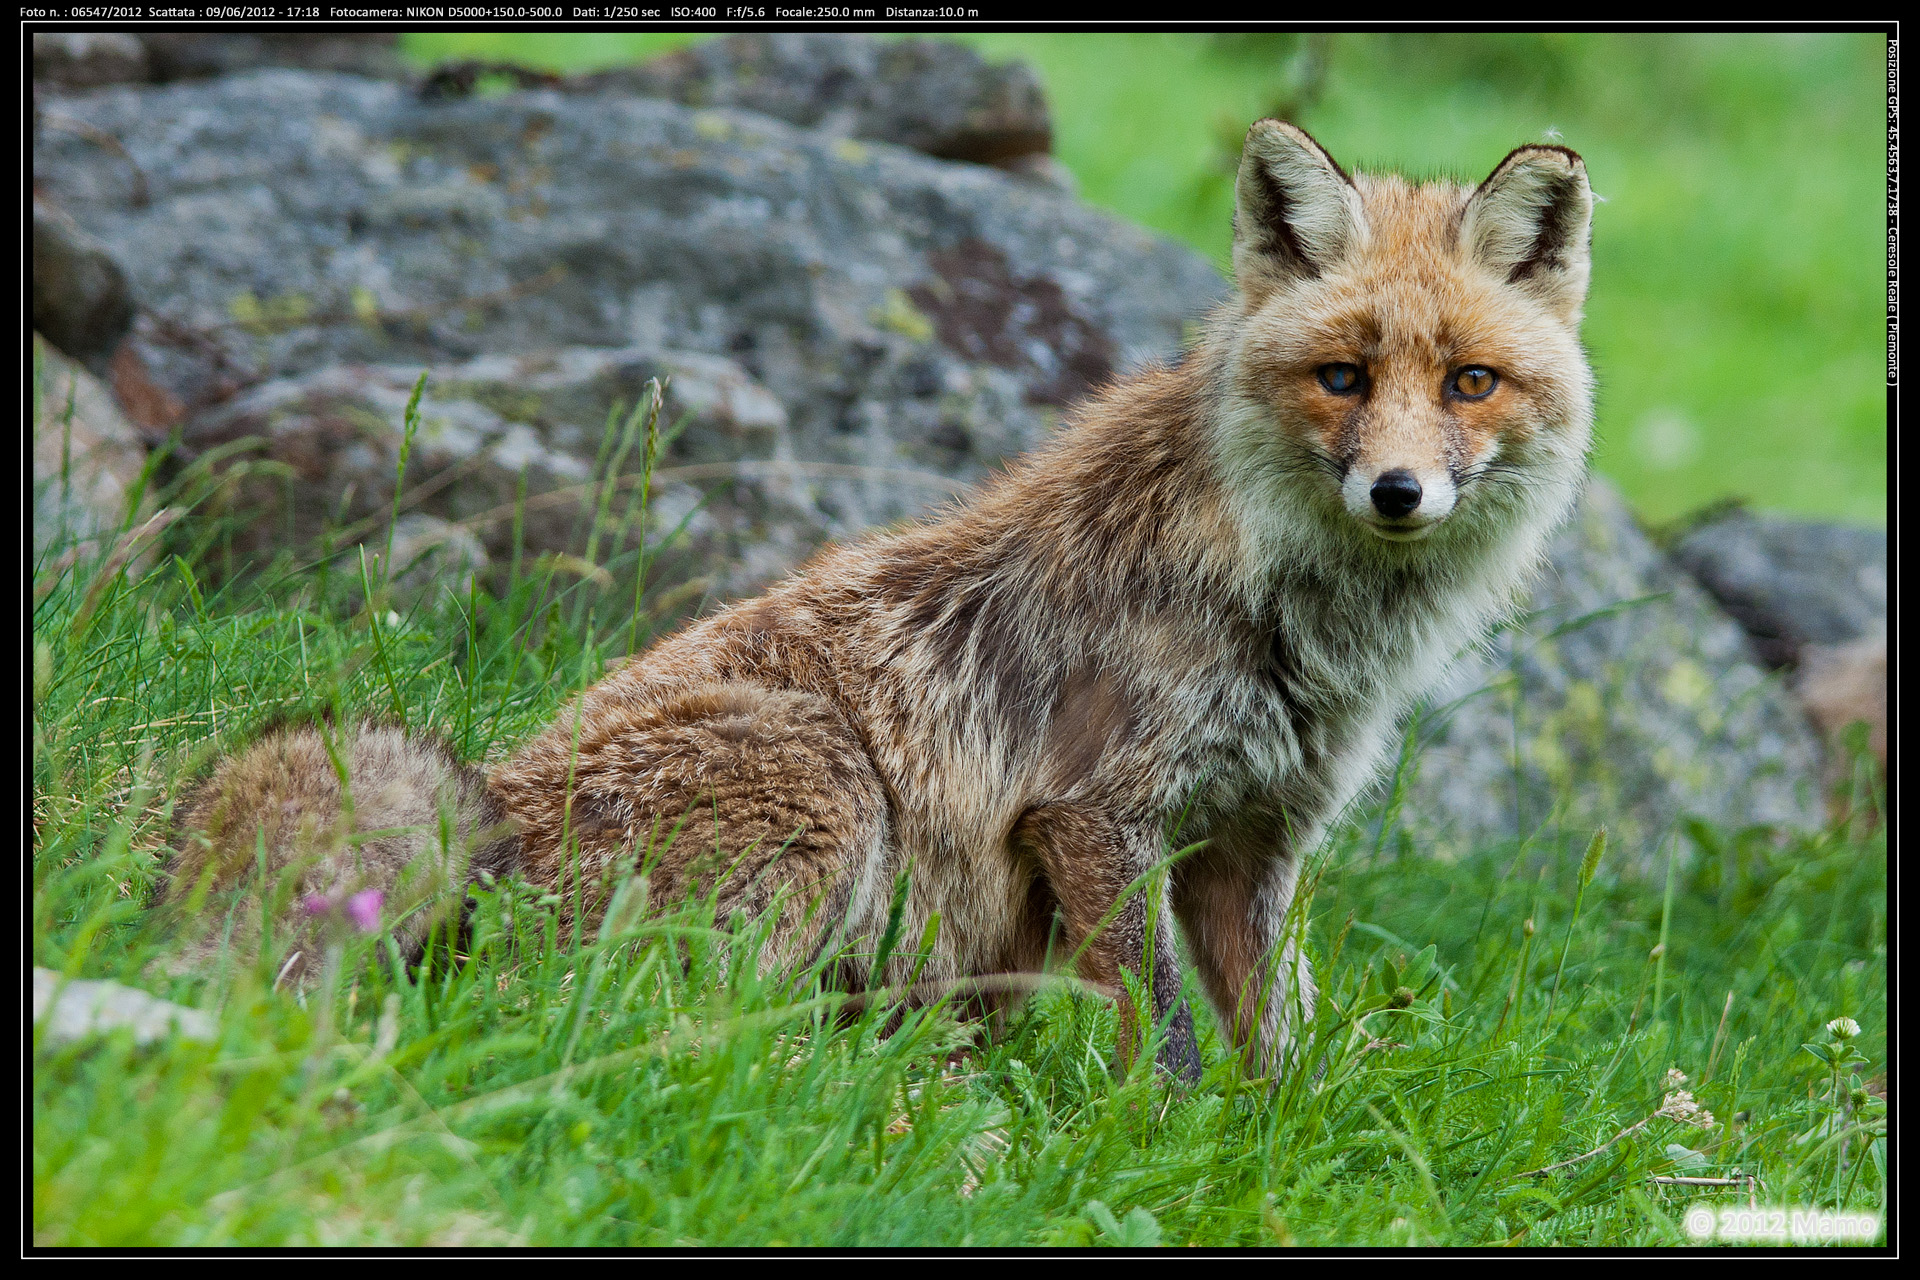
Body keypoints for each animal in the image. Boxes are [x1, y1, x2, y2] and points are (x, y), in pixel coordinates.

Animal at [167, 121, 1595, 1080]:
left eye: (1468, 382)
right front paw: (1177, 1146)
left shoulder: (1253, 843)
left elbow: (1277, 1045)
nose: (1399, 493)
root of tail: (493, 836)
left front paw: (1283, 1154)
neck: (1295, 614)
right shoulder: (1095, 813)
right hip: (828, 785)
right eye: (1343, 376)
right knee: (662, 1025)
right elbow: (1172, 1042)